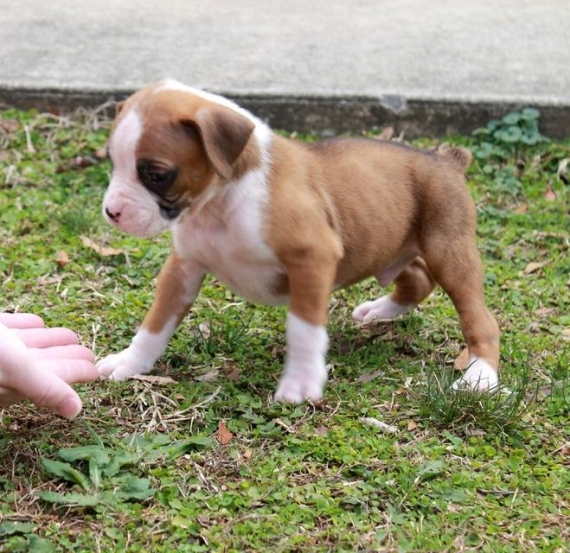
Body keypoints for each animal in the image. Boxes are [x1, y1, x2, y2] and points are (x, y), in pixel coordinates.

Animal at [97, 79, 500, 403]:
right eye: (112, 163)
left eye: (156, 174)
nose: (111, 211)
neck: (221, 201)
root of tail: (447, 160)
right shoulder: (182, 269)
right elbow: (156, 323)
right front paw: (130, 362)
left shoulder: (312, 259)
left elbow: (304, 329)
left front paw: (301, 383)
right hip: (393, 247)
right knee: (417, 277)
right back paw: (381, 310)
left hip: (450, 252)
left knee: (480, 319)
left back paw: (480, 376)